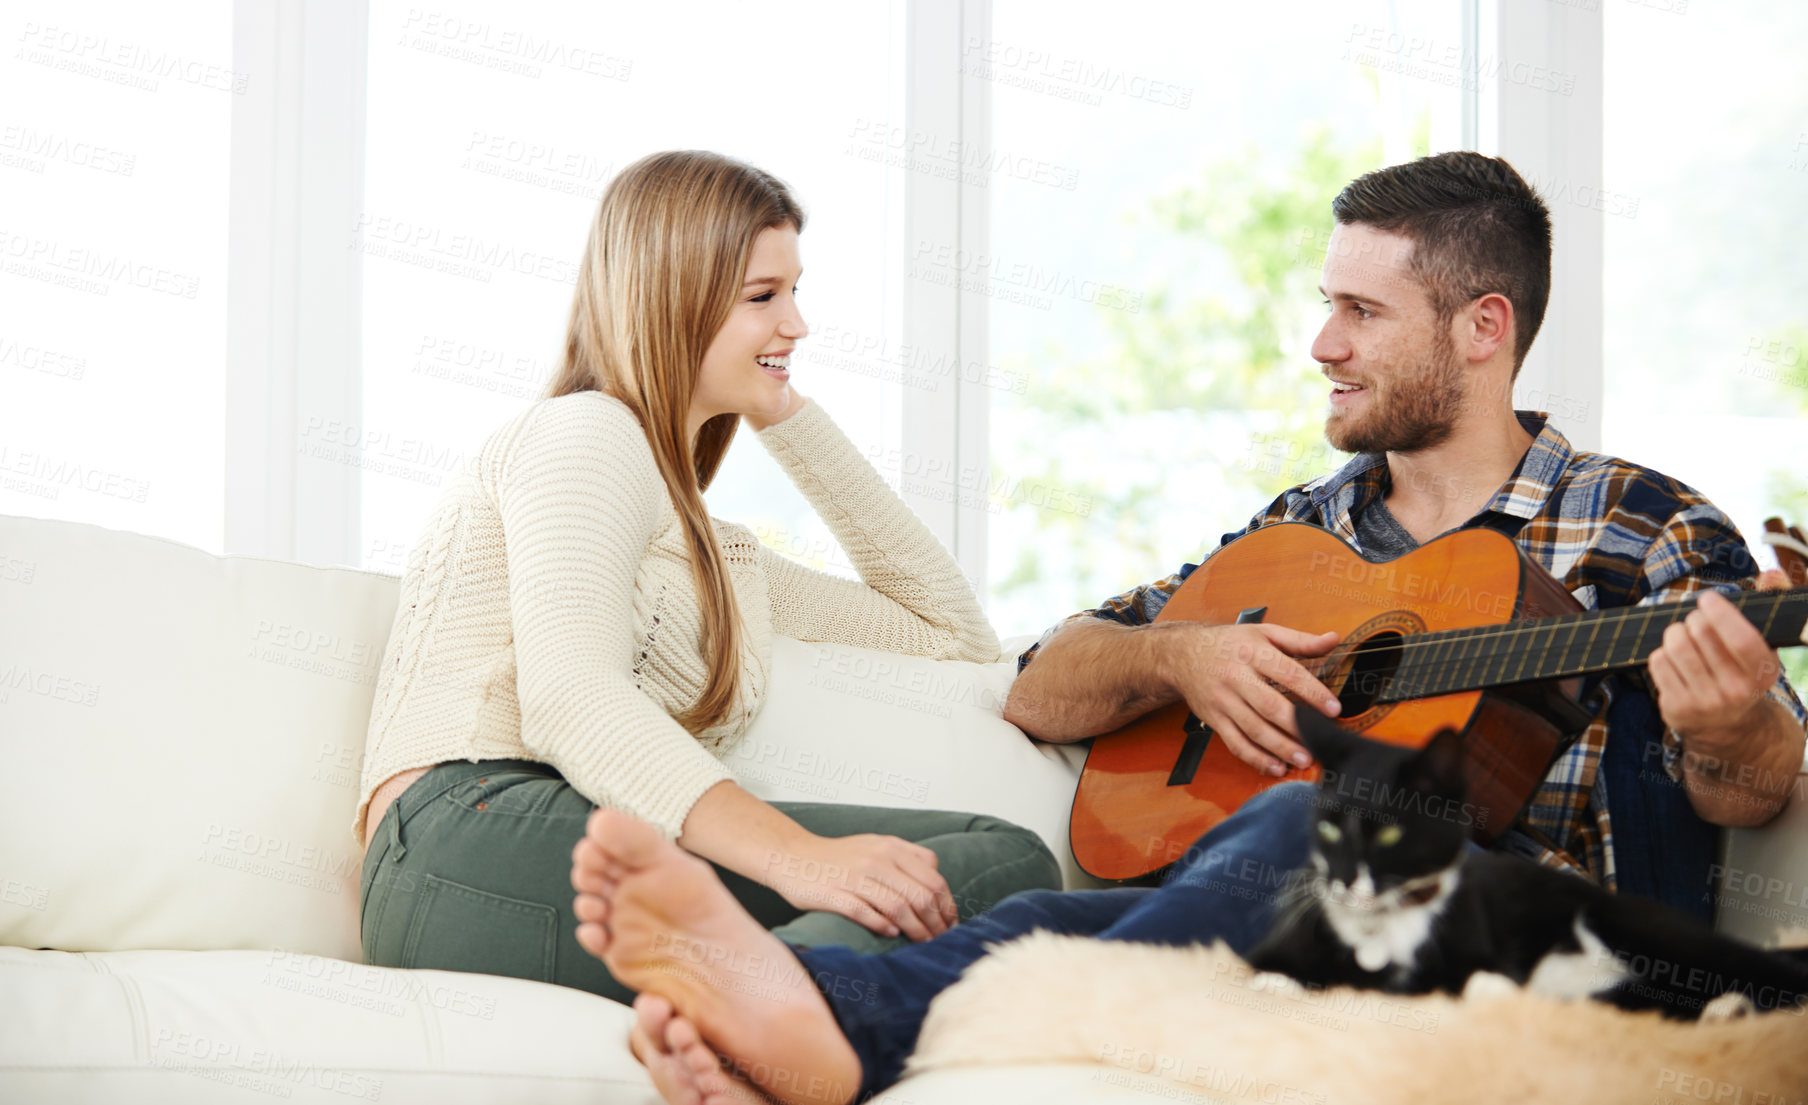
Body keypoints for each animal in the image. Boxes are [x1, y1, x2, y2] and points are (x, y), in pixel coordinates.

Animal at [1243, 708, 1808, 1020]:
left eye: (1388, 832)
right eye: (1328, 829)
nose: (1340, 881)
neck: (1380, 934)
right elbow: (1275, 971)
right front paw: (1280, 981)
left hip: (1656, 936)